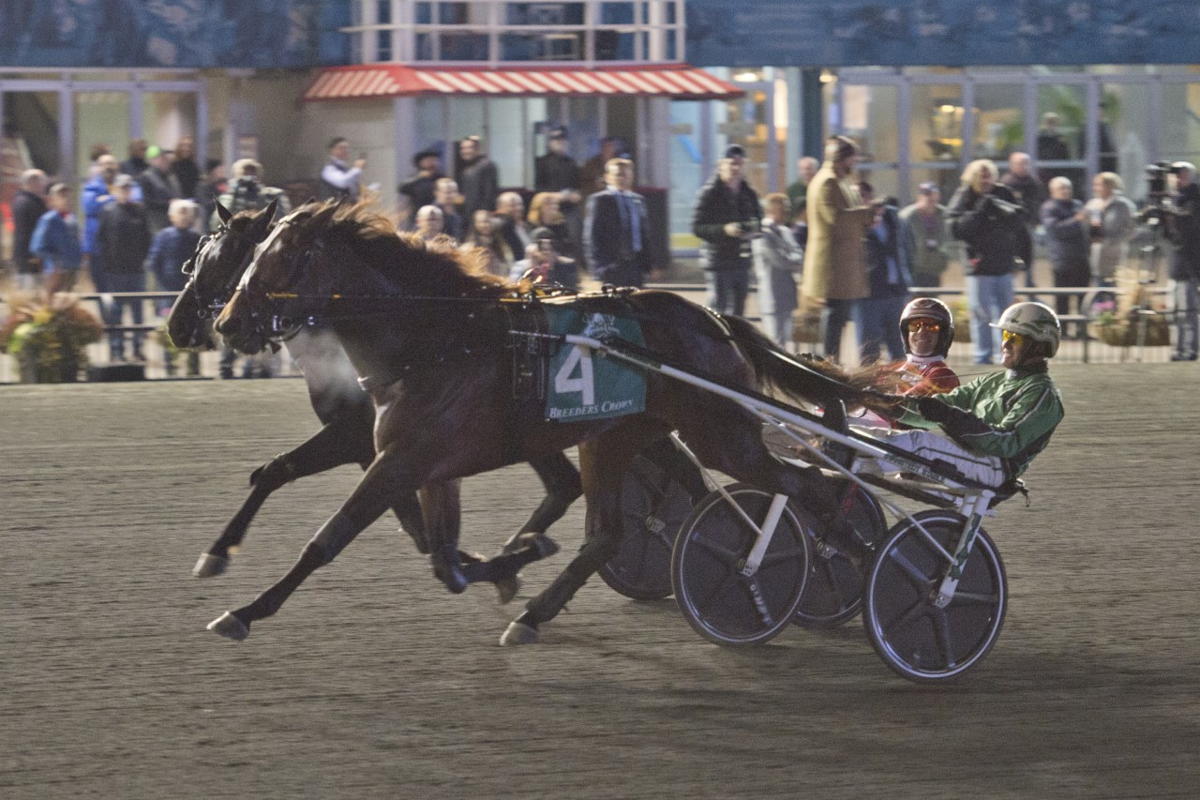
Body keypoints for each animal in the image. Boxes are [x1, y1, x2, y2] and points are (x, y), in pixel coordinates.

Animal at [164, 201, 571, 599]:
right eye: (198, 257)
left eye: (225, 257)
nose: (177, 326)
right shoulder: (377, 448)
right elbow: (279, 473)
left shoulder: (358, 437)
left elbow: (283, 473)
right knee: (564, 486)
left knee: (564, 486)